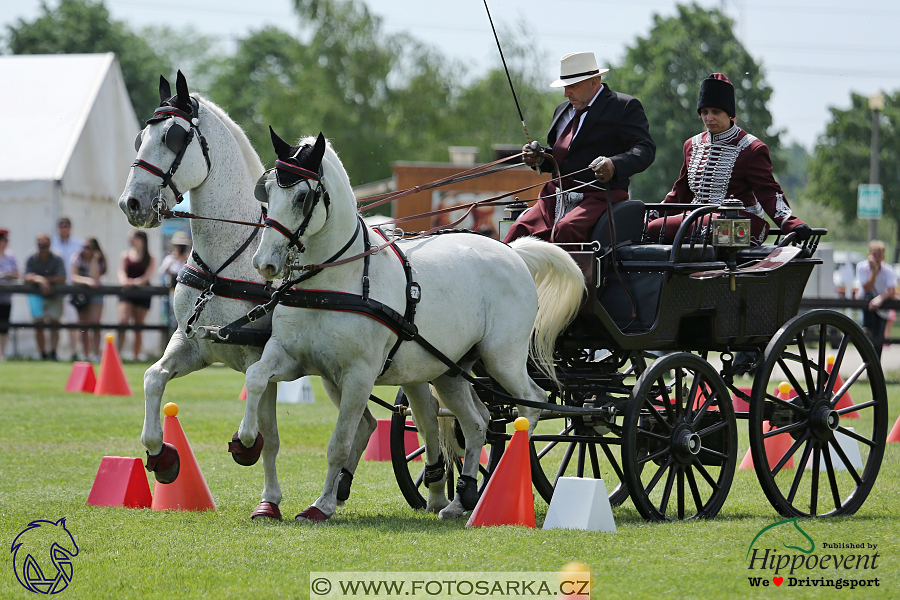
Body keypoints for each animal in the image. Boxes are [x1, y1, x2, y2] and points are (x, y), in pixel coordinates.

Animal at [117, 71, 376, 520]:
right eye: (139, 137)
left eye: (173, 137)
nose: (131, 203)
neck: (224, 262)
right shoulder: (193, 344)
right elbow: (153, 378)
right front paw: (161, 456)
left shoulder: (262, 356)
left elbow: (268, 435)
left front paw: (265, 493)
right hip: (336, 374)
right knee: (365, 424)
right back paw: (339, 489)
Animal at [237, 130, 584, 520]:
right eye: (267, 192)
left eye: (302, 196)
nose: (264, 263)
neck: (335, 281)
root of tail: (513, 252)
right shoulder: (293, 358)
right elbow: (256, 376)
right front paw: (246, 440)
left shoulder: (359, 375)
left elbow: (340, 441)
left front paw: (322, 505)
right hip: (450, 371)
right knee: (477, 422)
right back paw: (460, 499)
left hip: (502, 359)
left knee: (531, 404)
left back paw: (506, 481)